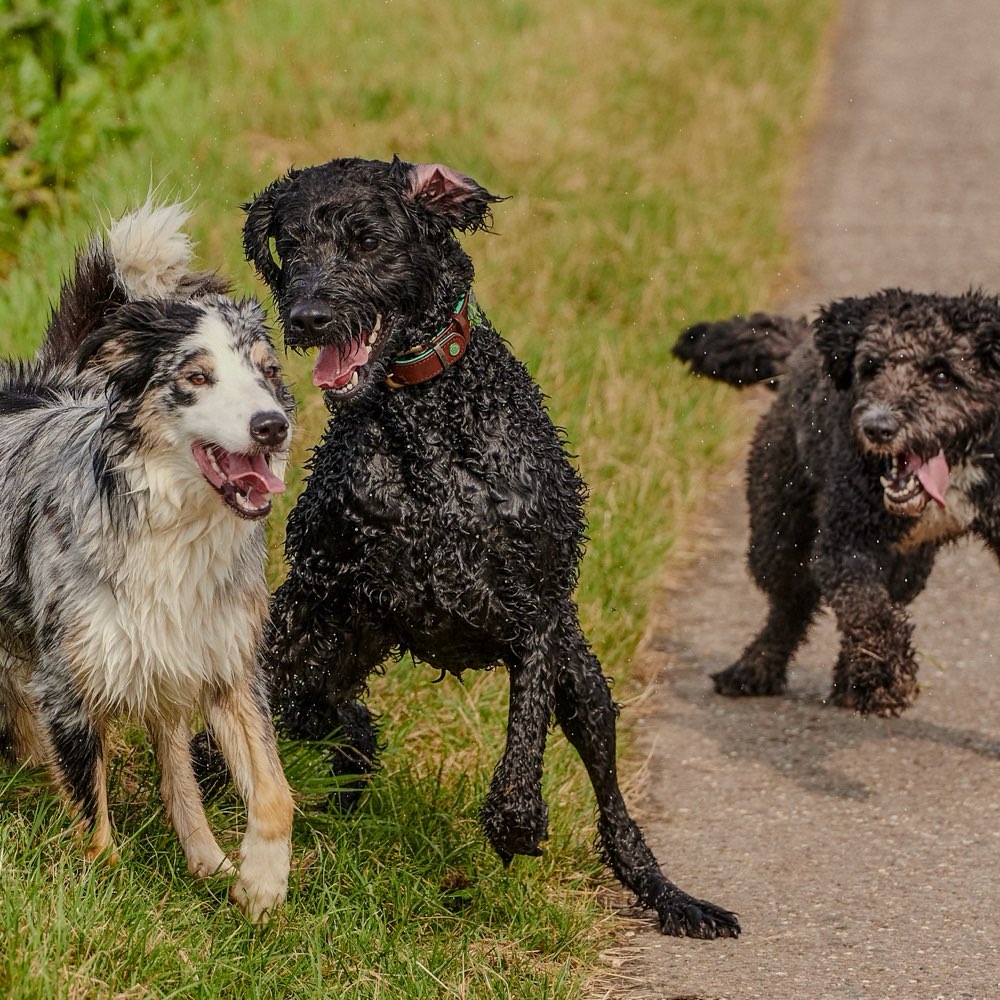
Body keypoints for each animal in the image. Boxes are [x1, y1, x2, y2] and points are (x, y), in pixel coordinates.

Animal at [0, 201, 296, 920]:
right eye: (196, 377)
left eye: (269, 373)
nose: (273, 426)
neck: (174, 529)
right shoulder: (69, 678)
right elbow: (92, 811)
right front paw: (106, 889)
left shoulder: (228, 662)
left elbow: (275, 792)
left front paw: (261, 882)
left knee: (176, 772)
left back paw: (208, 858)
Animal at [240, 156, 744, 936]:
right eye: (290, 246)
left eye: (366, 239)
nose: (307, 317)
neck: (427, 433)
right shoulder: (317, 587)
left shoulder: (536, 608)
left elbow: (525, 731)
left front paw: (516, 820)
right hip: (326, 671)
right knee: (345, 730)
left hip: (588, 689)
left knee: (613, 804)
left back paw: (669, 895)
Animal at [676, 290, 1000, 720]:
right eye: (870, 367)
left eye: (943, 374)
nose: (878, 427)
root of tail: (798, 353)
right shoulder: (844, 541)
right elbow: (866, 610)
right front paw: (887, 676)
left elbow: (870, 609)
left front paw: (874, 677)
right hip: (776, 534)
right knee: (792, 604)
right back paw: (755, 668)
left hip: (908, 568)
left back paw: (849, 680)